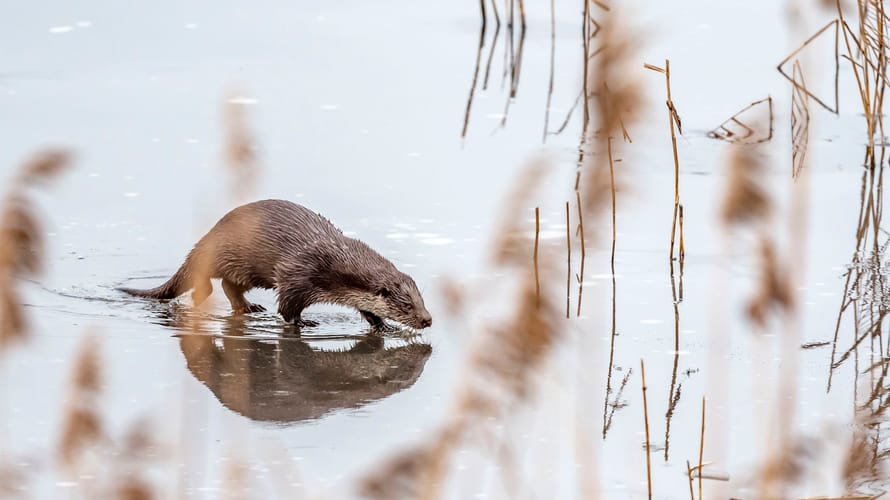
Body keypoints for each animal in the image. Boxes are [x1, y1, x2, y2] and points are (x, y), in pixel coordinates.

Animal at [119, 199, 432, 329]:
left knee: (230, 286)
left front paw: (383, 325)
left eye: (422, 300)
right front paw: (303, 322)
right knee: (206, 282)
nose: (427, 320)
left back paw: (249, 307)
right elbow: (287, 309)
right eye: (408, 306)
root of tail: (209, 235)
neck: (334, 262)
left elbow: (366, 309)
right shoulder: (297, 276)